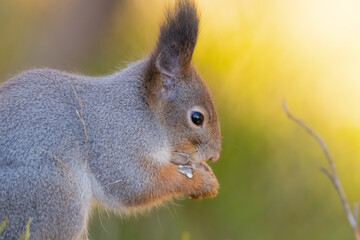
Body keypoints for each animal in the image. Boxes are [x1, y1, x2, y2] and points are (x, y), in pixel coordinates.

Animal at [0, 0, 222, 239]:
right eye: (197, 118)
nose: (214, 156)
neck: (144, 114)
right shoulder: (118, 144)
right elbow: (138, 184)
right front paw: (201, 182)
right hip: (55, 197)